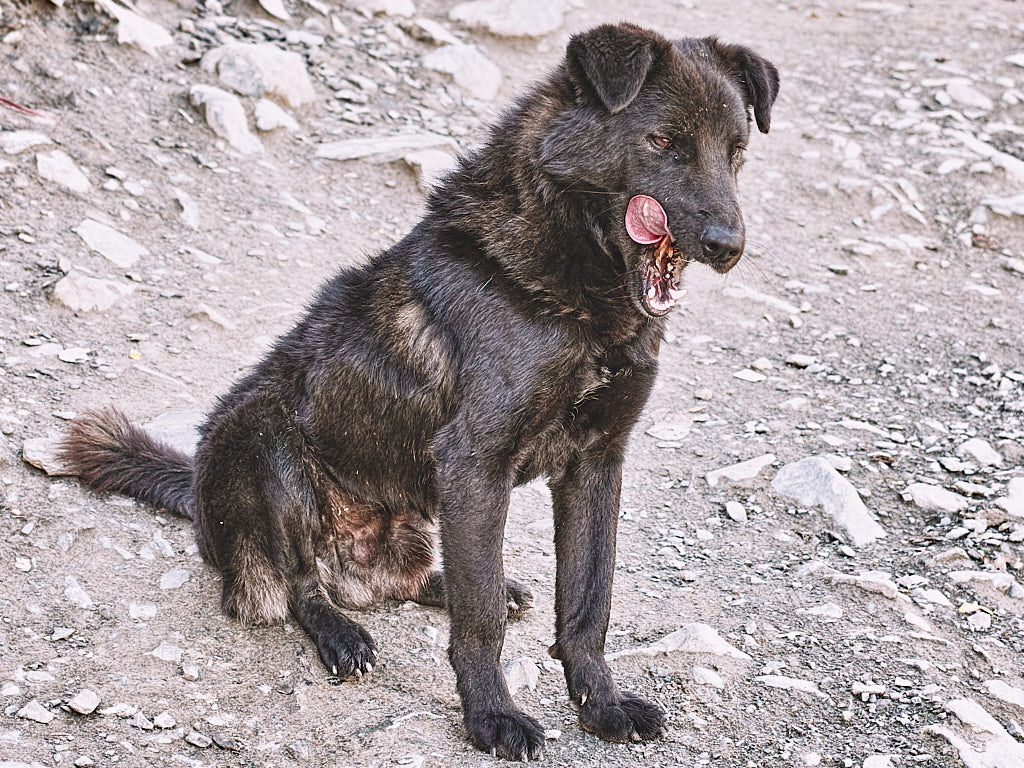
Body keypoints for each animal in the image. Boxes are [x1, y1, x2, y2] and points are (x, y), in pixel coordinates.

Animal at [61, 24, 774, 765]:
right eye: (662, 142)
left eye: (736, 152)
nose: (730, 246)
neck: (573, 286)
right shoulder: (476, 463)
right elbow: (480, 620)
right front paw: (491, 717)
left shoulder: (596, 463)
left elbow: (587, 601)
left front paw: (600, 704)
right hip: (262, 433)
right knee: (299, 583)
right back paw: (340, 631)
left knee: (420, 577)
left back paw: (442, 584)